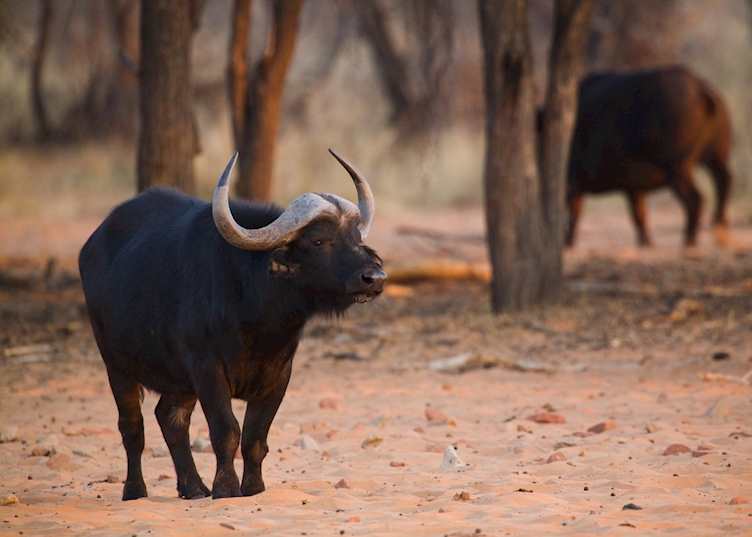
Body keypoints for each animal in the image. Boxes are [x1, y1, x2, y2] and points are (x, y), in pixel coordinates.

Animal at [79, 150, 386, 500]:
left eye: (356, 237)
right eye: (319, 240)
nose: (375, 277)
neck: (257, 321)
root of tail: (90, 248)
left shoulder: (279, 375)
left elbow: (255, 436)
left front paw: (253, 488)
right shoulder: (207, 369)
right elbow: (226, 430)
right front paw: (226, 488)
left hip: (179, 381)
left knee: (170, 418)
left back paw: (193, 488)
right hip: (117, 365)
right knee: (132, 427)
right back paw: (135, 490)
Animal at [565, 66, 732, 247]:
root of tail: (700, 87)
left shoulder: (572, 182)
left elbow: (572, 213)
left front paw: (567, 242)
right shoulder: (633, 187)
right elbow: (639, 214)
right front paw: (646, 242)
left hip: (678, 167)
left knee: (696, 198)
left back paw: (689, 240)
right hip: (716, 157)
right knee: (724, 181)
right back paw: (719, 228)